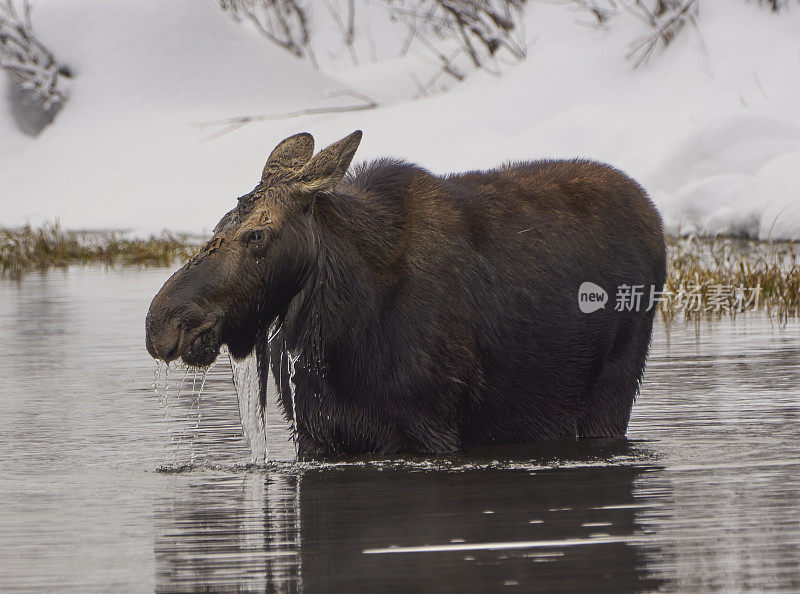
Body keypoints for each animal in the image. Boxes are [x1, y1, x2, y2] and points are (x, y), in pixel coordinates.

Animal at [145, 130, 668, 454]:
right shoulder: (317, 433)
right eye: (219, 224)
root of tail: (654, 214)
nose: (162, 323)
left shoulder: (430, 428)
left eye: (256, 233)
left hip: (611, 391)